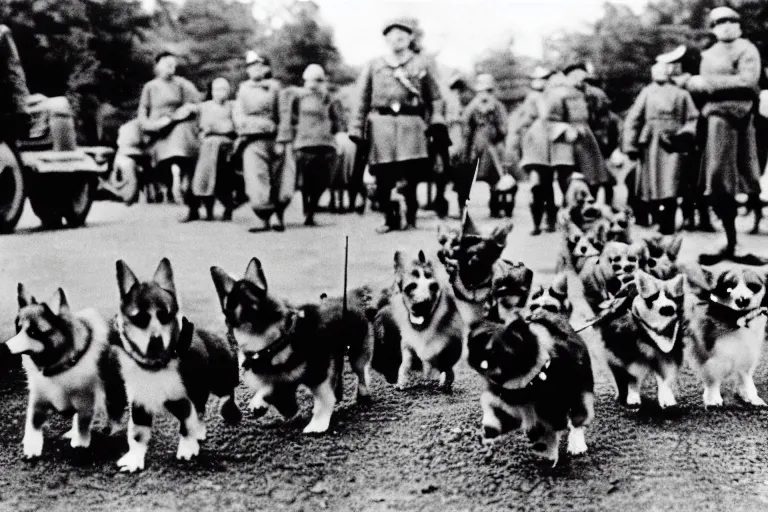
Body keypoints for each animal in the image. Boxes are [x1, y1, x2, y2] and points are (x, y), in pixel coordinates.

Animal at [3, 284, 126, 460]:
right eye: (18, 328)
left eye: (33, 332)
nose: (5, 348)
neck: (57, 364)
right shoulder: (38, 398)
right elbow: (32, 423)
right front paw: (32, 446)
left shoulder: (85, 400)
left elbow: (83, 422)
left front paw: (81, 441)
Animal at [112, 260, 240, 472]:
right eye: (139, 319)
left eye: (165, 316)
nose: (156, 341)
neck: (155, 367)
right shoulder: (139, 405)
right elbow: (137, 435)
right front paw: (134, 459)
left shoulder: (183, 400)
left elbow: (186, 425)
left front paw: (187, 449)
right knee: (201, 408)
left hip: (220, 380)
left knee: (227, 392)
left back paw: (228, 411)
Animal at [596, 272, 688, 408]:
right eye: (654, 297)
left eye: (670, 296)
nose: (667, 308)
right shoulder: (626, 347)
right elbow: (633, 374)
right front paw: (633, 395)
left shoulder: (671, 348)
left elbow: (666, 372)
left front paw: (667, 398)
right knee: (618, 372)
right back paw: (621, 394)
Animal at [684, 264, 768, 408]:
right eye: (729, 288)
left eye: (753, 286)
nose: (742, 300)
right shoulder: (708, 355)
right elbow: (712, 379)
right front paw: (713, 399)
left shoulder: (748, 353)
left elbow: (745, 377)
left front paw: (751, 396)